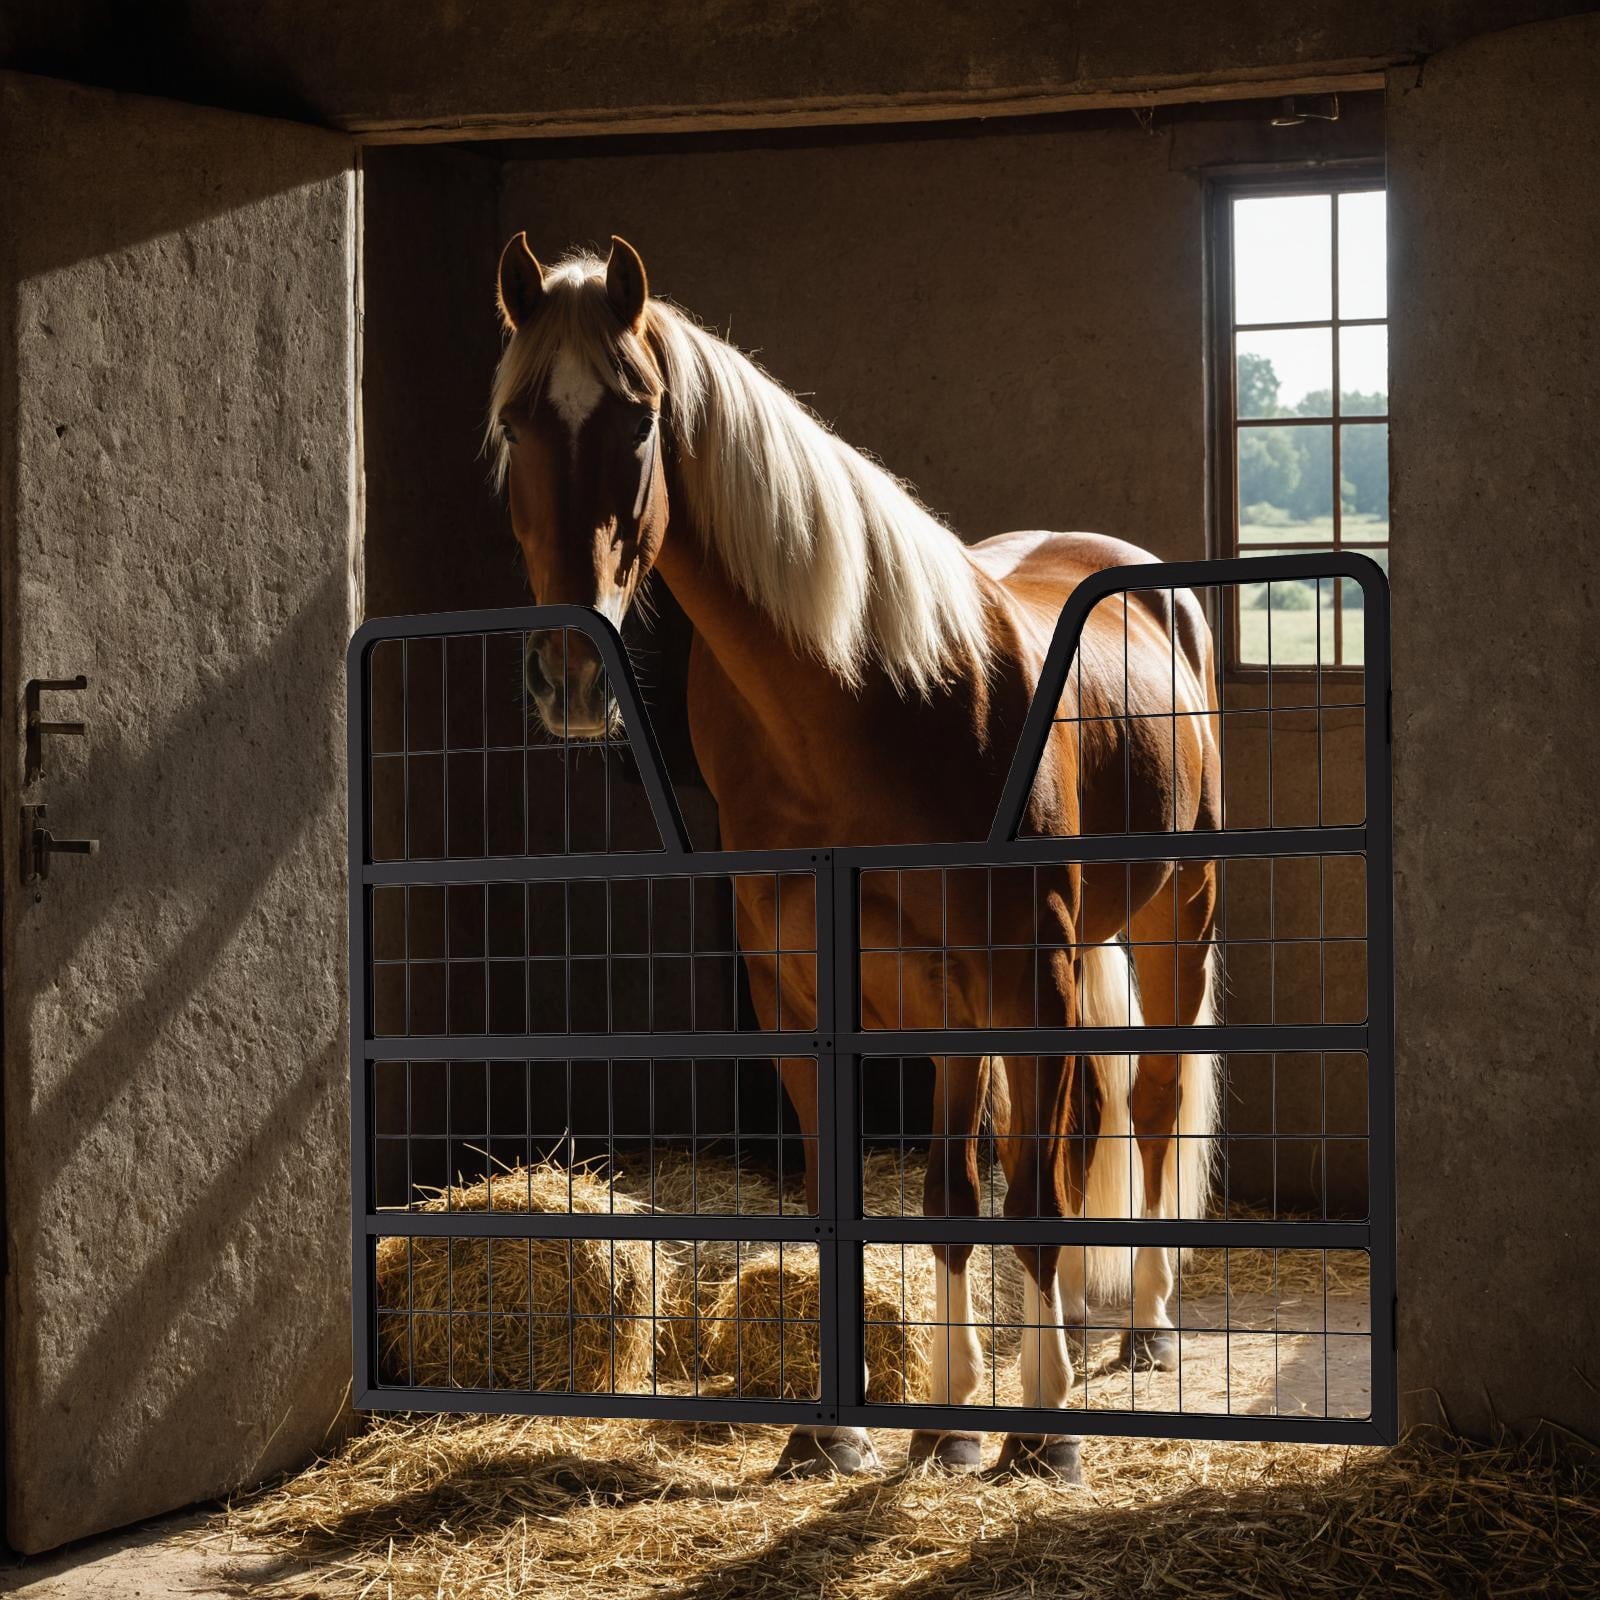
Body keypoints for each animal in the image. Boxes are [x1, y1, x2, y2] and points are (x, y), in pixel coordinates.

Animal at [485, 233, 1221, 1484]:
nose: (568, 676)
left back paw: (1141, 1326)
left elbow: (1028, 1194)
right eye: (514, 421)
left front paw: (1043, 1437)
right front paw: (863, 1427)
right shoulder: (812, 993)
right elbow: (901, 1194)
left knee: (1153, 1096)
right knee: (1047, 1134)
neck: (864, 705)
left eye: (637, 417)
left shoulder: (1023, 977)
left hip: (1170, 920)